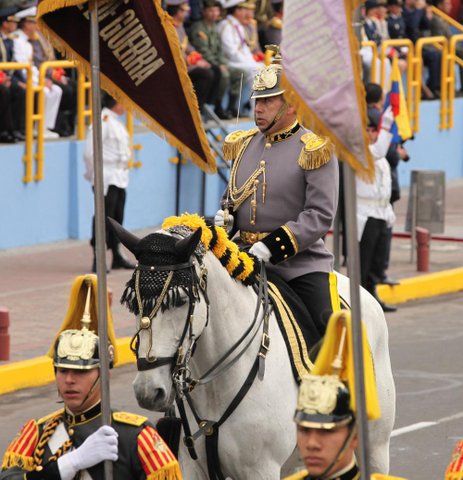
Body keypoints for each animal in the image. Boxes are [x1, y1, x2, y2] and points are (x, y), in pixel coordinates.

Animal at [109, 218, 396, 480]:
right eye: (132, 303)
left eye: (179, 300)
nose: (148, 391)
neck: (218, 384)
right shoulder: (194, 468)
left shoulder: (261, 470)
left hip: (376, 446)